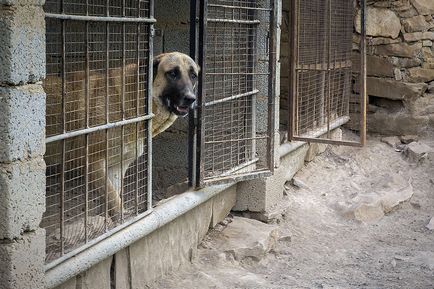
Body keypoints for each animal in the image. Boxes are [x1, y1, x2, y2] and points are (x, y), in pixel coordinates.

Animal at [44, 52, 198, 218]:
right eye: (172, 73)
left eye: (193, 75)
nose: (191, 99)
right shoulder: (93, 162)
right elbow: (113, 198)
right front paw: (121, 219)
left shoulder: (117, 167)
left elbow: (114, 196)